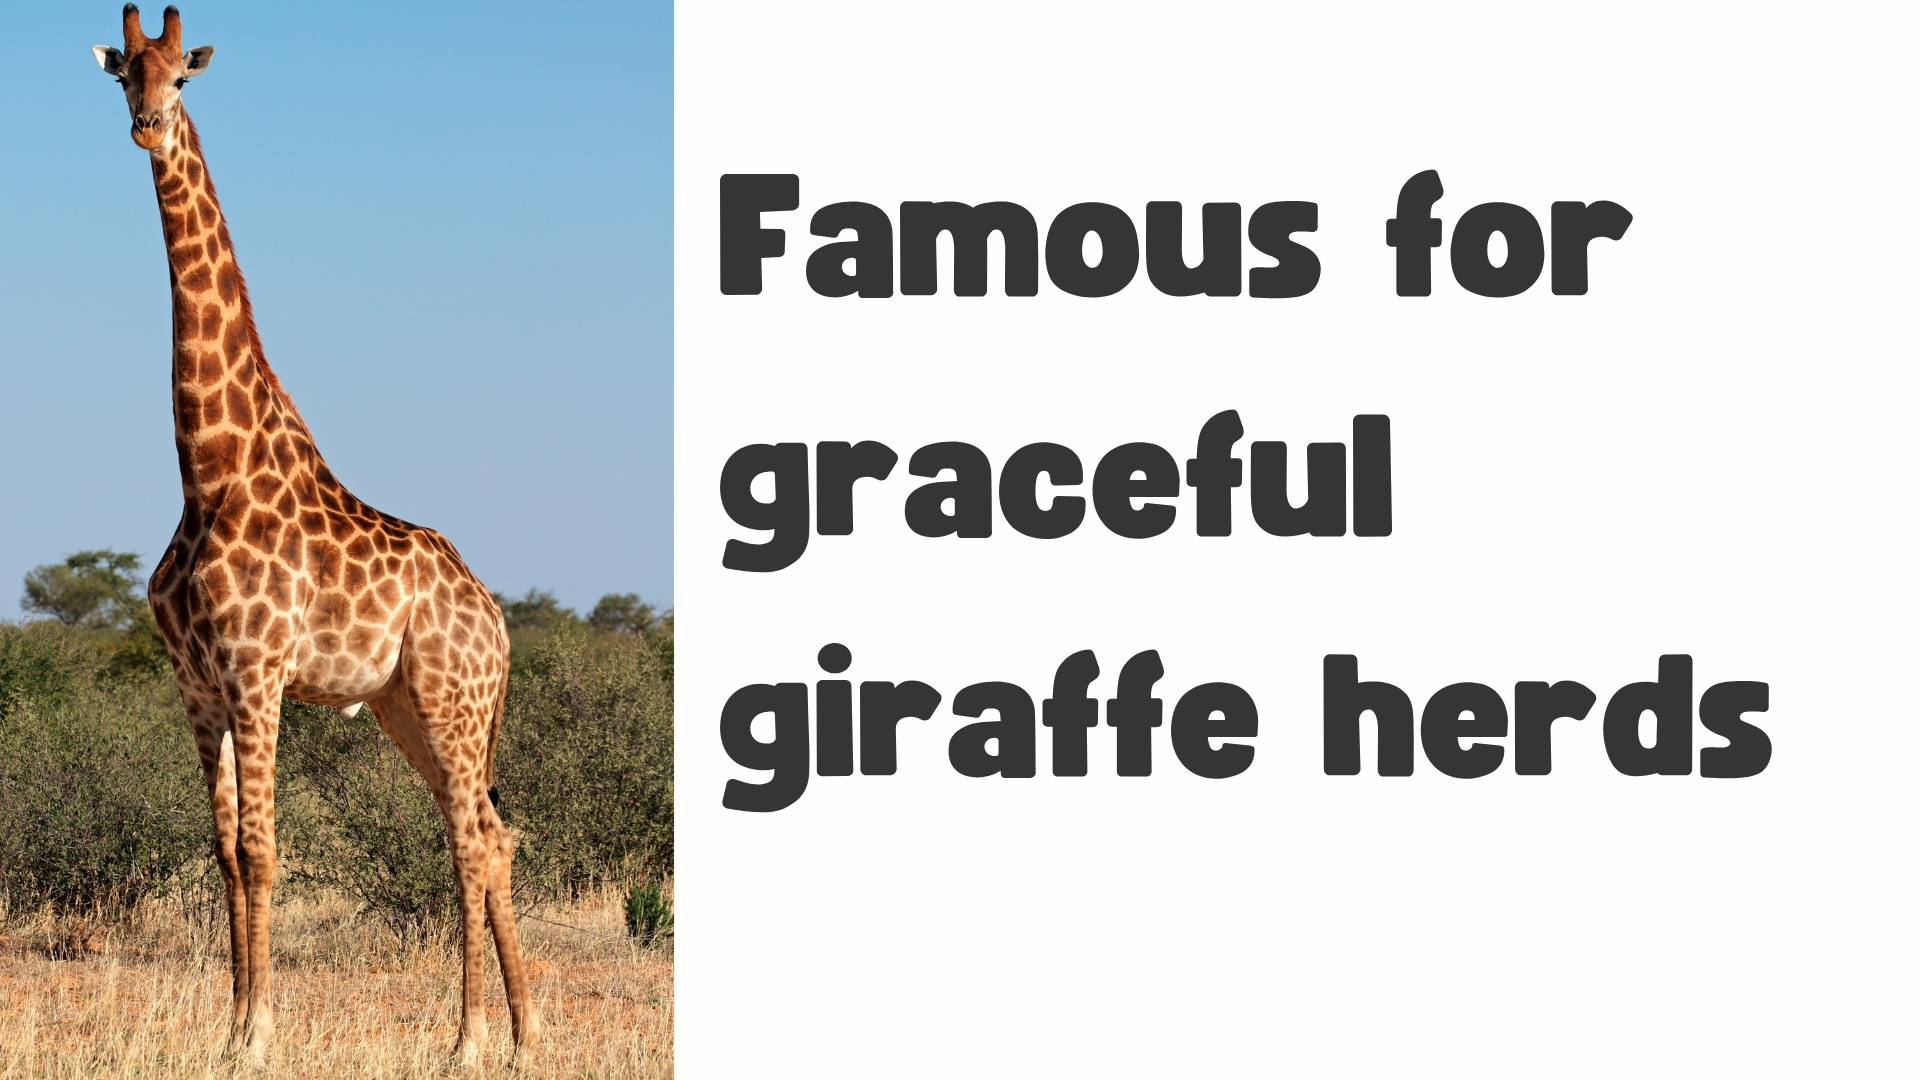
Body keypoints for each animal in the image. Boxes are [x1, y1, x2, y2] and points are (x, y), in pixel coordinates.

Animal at [93, 5, 540, 1069]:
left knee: (471, 837)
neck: (207, 467)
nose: (147, 127)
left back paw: (468, 1041)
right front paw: (228, 1030)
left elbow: (263, 849)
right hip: (407, 707)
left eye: (183, 77)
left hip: (453, 699)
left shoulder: (258, 672)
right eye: (125, 73)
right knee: (491, 832)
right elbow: (223, 852)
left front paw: (257, 1035)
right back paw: (523, 1035)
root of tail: (497, 620)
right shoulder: (197, 682)